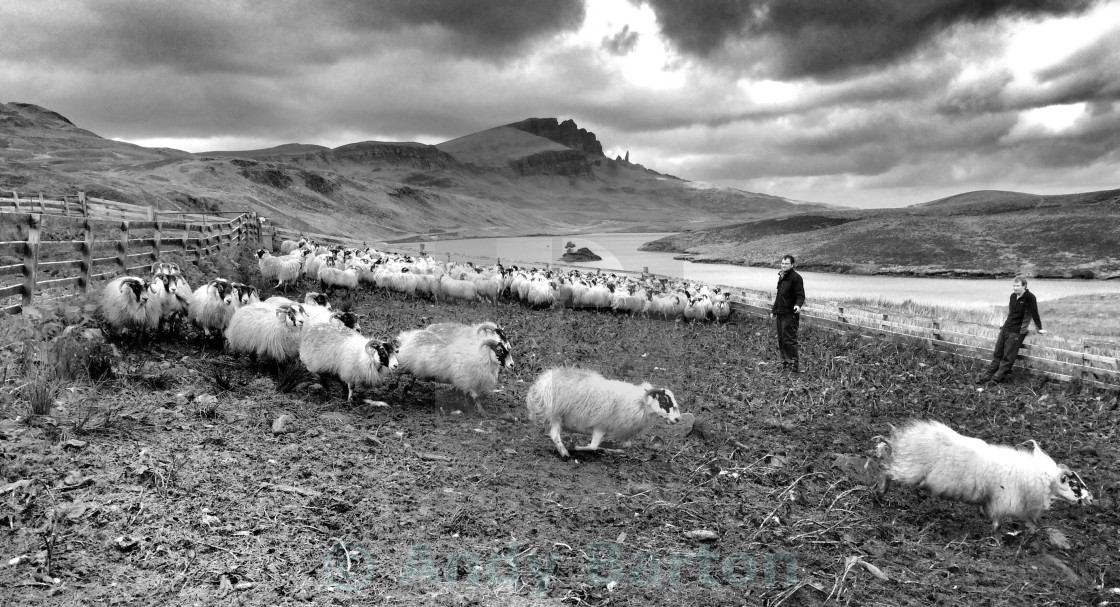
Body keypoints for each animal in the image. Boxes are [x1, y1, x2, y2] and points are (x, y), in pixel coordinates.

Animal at [524, 367, 680, 461]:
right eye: (664, 401)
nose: (678, 419)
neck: (638, 403)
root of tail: (544, 381)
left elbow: (626, 445)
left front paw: (609, 446)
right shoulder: (600, 426)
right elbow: (592, 446)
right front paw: (574, 447)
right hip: (557, 414)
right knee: (555, 435)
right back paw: (565, 453)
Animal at [873, 421, 1093, 530]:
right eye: (1074, 484)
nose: (1091, 499)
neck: (1040, 478)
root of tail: (905, 437)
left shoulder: (990, 501)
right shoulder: (1001, 502)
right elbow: (996, 523)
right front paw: (995, 540)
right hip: (909, 469)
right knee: (886, 470)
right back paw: (879, 493)